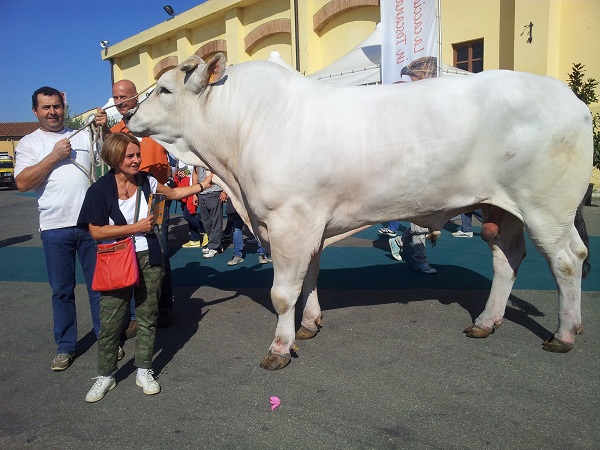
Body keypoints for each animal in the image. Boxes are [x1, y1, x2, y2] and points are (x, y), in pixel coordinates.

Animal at [124, 54, 592, 370]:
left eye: (165, 90)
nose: (128, 116)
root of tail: (570, 98)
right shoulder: (309, 223)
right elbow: (309, 278)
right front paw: (309, 324)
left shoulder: (289, 220)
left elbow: (282, 292)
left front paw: (280, 347)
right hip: (501, 207)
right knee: (507, 258)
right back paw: (486, 320)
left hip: (546, 207)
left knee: (568, 260)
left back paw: (564, 334)